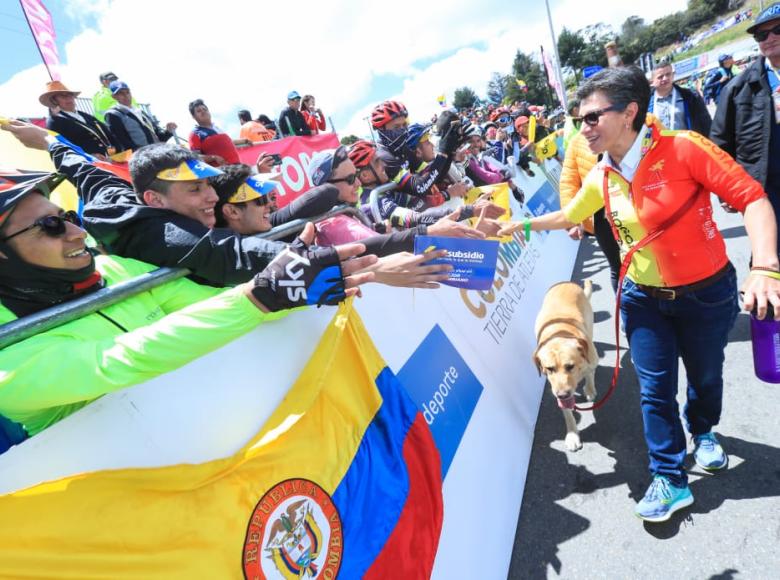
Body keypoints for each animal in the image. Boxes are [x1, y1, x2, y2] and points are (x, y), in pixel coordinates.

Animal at [536, 280, 596, 454]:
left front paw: (590, 390)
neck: (559, 333)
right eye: (549, 369)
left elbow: (590, 373)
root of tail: (566, 282)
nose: (562, 394)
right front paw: (572, 435)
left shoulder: (591, 361)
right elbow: (567, 413)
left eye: (570, 366)